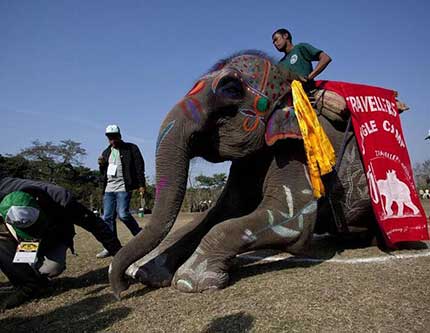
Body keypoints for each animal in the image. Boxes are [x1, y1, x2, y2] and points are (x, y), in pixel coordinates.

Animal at [109, 50, 378, 296]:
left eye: (231, 89)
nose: (121, 290)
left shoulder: (295, 150)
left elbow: (290, 219)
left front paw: (190, 280)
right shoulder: (248, 162)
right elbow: (216, 213)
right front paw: (146, 273)